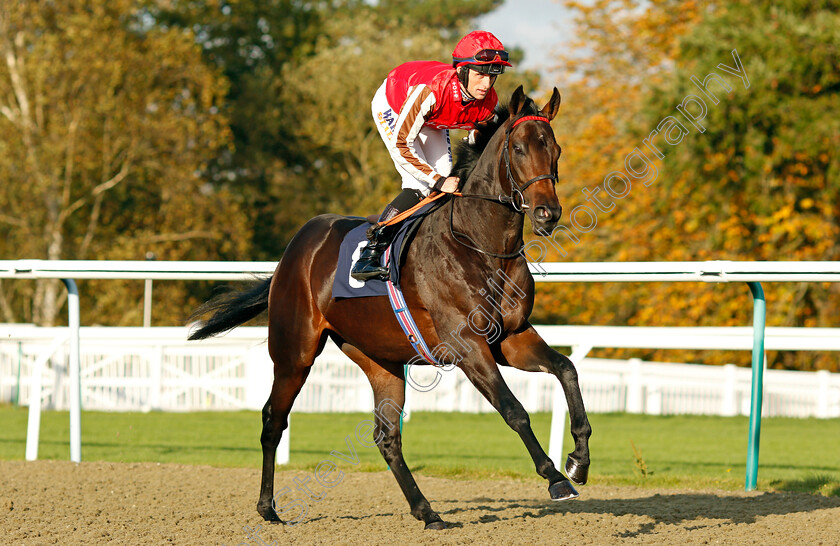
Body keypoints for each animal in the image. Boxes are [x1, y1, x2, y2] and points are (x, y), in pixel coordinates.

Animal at [192, 86, 592, 528]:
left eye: (555, 149)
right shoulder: (467, 346)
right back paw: (268, 507)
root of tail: (296, 249)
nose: (547, 213)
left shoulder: (511, 339)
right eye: (519, 148)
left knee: (387, 436)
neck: (480, 244)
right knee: (272, 421)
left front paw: (578, 460)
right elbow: (514, 409)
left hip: (379, 359)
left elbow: (567, 369)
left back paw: (427, 511)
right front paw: (556, 478)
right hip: (294, 352)